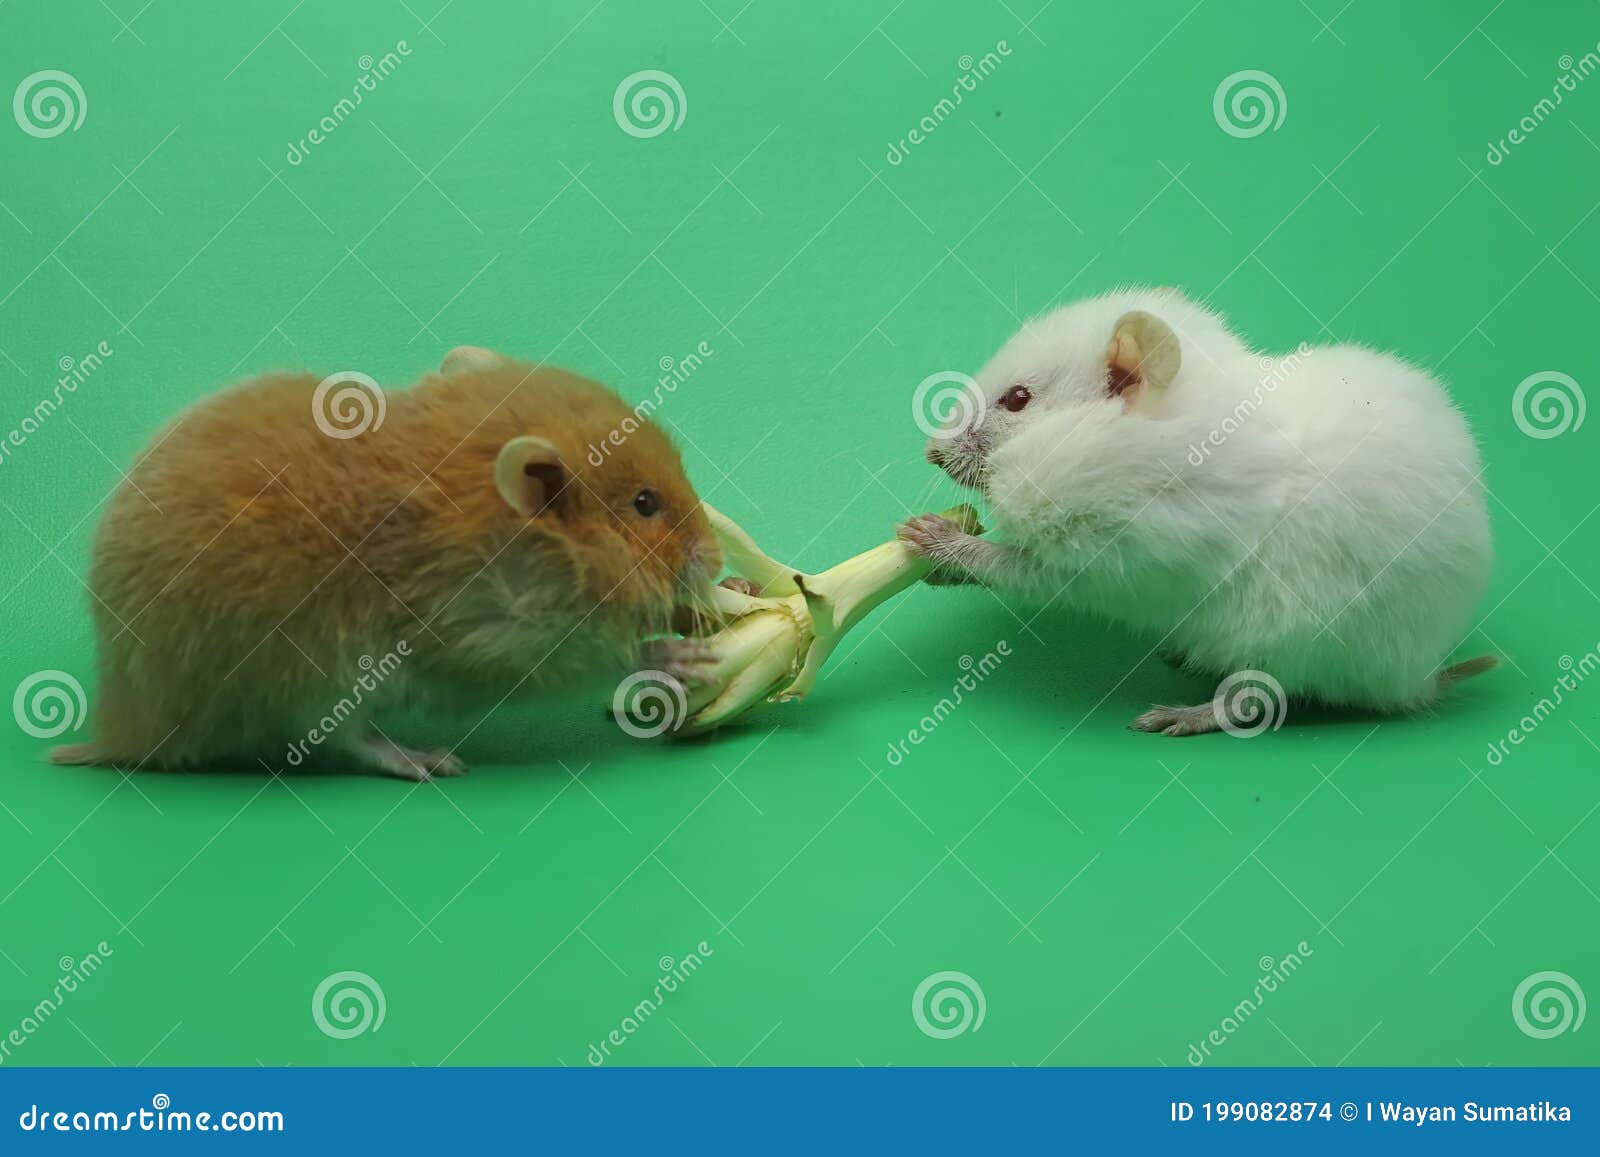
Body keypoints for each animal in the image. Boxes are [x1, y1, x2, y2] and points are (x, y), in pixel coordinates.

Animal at [50, 350, 721, 778]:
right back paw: (431, 762)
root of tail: (121, 725)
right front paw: (684, 655)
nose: (715, 560)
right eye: (645, 504)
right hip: (316, 681)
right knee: (351, 739)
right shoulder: (489, 646)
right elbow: (604, 658)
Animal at [899, 287, 1495, 734]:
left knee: (1256, 700)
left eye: (1017, 399)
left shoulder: (1111, 563)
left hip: (1289, 643)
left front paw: (929, 537)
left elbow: (1014, 566)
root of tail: (1415, 681)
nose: (929, 453)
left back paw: (1174, 716)